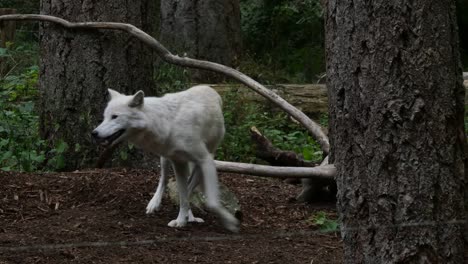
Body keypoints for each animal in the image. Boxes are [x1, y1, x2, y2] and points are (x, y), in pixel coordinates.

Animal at [91, 85, 239, 232]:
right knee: (164, 180)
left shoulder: (204, 161)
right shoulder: (178, 163)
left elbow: (209, 201)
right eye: (104, 117)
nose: (94, 133)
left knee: (188, 186)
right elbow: (182, 194)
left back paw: (189, 216)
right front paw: (181, 220)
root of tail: (208, 87)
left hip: (201, 161)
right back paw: (154, 204)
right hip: (165, 159)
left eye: (115, 117)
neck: (168, 123)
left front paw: (230, 222)